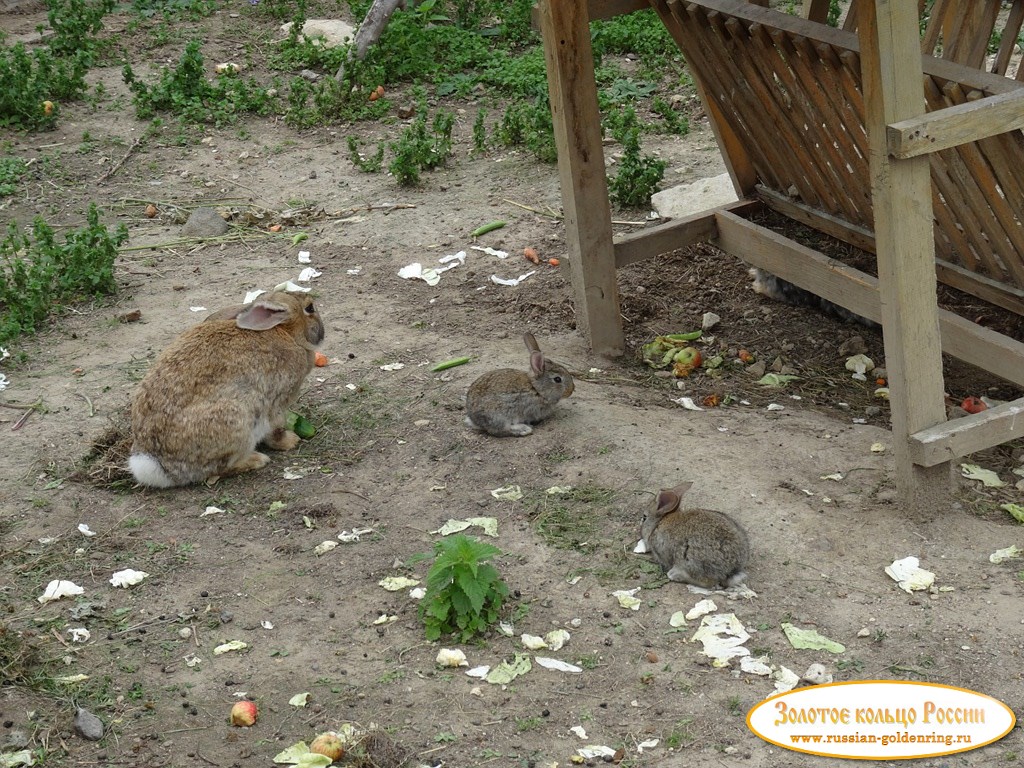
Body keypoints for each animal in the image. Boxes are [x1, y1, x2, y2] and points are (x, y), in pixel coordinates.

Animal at [130, 290, 323, 489]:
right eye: (310, 308)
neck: (287, 333)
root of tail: (159, 467)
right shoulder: (277, 401)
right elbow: (276, 427)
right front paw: (291, 441)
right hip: (237, 422)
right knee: (218, 469)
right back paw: (256, 459)